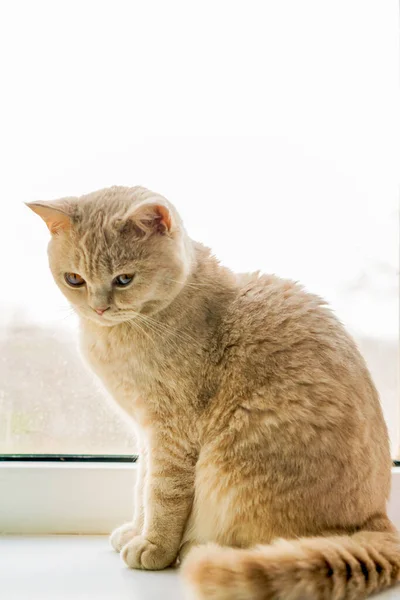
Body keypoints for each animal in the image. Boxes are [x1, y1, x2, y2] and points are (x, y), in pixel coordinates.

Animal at [26, 186, 398, 600]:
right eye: (74, 279)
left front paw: (153, 545)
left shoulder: (171, 431)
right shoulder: (145, 432)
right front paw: (136, 530)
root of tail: (376, 518)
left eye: (123, 279)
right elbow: (141, 486)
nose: (100, 307)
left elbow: (161, 494)